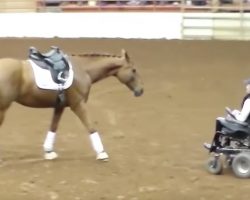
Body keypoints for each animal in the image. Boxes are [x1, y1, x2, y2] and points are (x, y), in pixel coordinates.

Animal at [0, 48, 143, 161]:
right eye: (134, 70)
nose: (140, 90)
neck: (83, 70)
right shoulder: (78, 105)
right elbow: (91, 127)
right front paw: (102, 153)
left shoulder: (59, 106)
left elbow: (53, 126)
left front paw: (49, 151)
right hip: (2, 109)